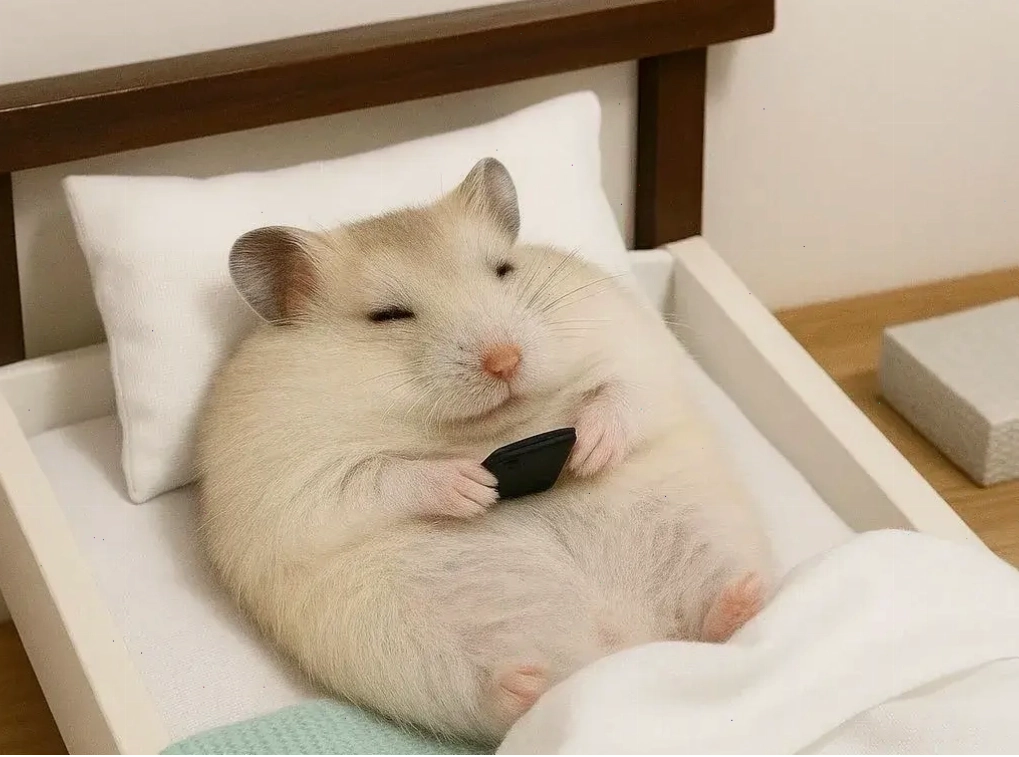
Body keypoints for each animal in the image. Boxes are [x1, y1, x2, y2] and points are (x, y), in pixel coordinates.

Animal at [195, 157, 774, 744]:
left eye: (503, 270)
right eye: (388, 316)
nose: (505, 359)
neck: (493, 428)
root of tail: (624, 645)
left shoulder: (633, 346)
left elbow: (624, 392)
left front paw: (589, 451)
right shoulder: (295, 477)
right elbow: (379, 477)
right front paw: (474, 487)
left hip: (706, 530)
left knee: (715, 619)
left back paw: (744, 598)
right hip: (400, 640)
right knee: (489, 695)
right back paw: (524, 685)